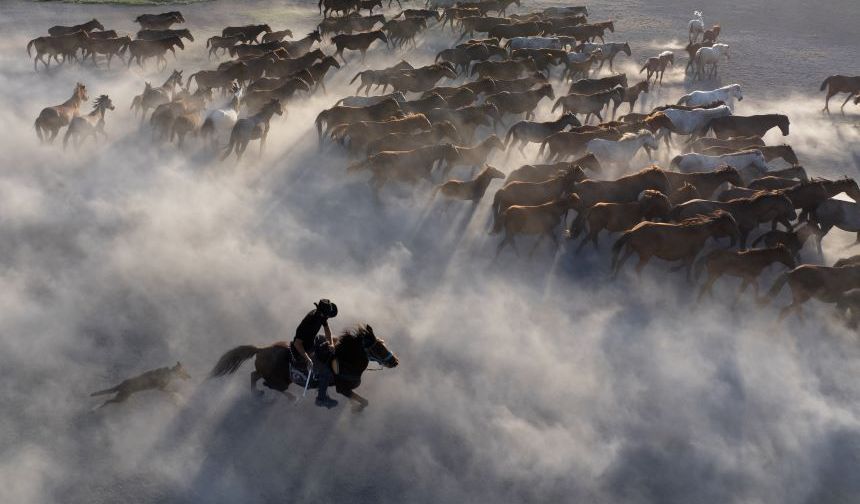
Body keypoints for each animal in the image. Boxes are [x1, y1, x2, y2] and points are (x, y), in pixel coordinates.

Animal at [210, 324, 398, 412]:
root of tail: (261, 349)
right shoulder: (343, 389)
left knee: (253, 375)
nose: (395, 361)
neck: (345, 360)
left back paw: (257, 394)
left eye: (383, 343)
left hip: (270, 373)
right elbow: (364, 401)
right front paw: (355, 409)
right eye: (378, 348)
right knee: (269, 384)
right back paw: (289, 397)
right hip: (280, 380)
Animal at [612, 210, 740, 280]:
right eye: (731, 223)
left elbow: (684, 264)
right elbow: (688, 266)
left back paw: (614, 278)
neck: (698, 231)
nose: (736, 235)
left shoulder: (686, 254)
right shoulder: (692, 254)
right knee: (638, 269)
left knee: (620, 262)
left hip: (630, 250)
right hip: (645, 256)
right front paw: (689, 282)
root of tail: (633, 231)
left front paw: (673, 270)